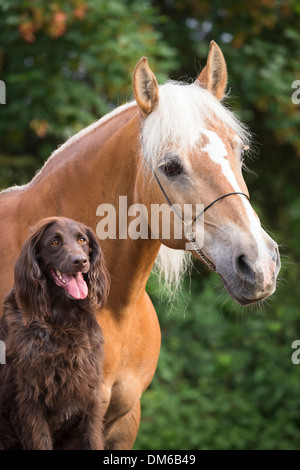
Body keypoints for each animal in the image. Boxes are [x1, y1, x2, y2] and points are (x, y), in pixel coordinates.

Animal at [0, 218, 109, 450]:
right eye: (55, 242)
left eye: (82, 240)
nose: (80, 261)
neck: (62, 319)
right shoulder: (29, 403)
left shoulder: (90, 396)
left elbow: (92, 439)